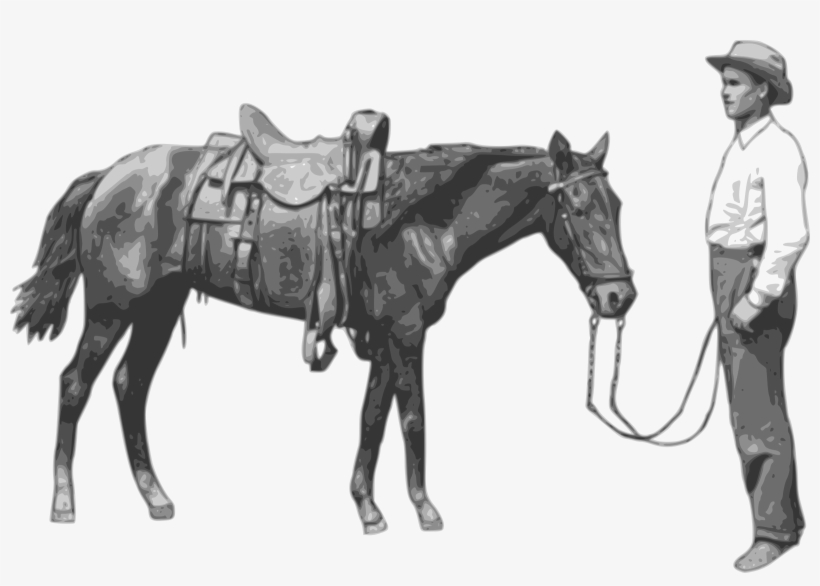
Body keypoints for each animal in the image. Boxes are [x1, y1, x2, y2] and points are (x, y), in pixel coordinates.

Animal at [13, 120, 636, 533]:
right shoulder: (407, 333)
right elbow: (413, 417)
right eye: (579, 206)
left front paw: (367, 507)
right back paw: (64, 503)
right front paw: (424, 509)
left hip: (158, 309)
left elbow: (372, 418)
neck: (420, 216)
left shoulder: (383, 337)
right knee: (75, 384)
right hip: (111, 309)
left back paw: (154, 497)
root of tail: (108, 174)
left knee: (130, 386)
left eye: (618, 205)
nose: (619, 296)